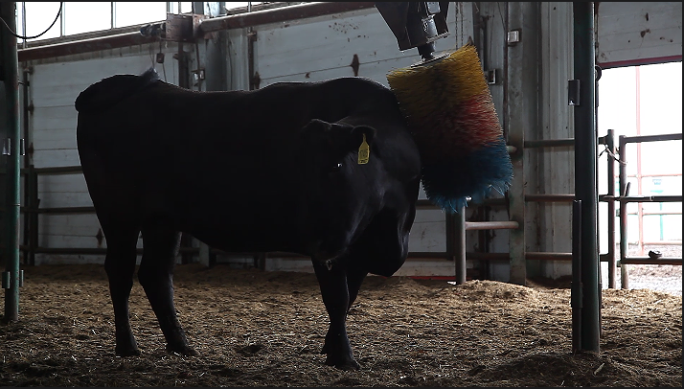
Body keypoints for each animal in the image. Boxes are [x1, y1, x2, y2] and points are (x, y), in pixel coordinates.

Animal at [72, 68, 420, 368]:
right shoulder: (335, 249)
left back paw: (180, 345)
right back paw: (127, 346)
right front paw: (343, 358)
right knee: (121, 271)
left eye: (336, 167)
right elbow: (337, 298)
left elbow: (349, 300)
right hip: (118, 212)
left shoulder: (358, 248)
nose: (314, 239)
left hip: (162, 220)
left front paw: (331, 347)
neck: (392, 223)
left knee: (155, 275)